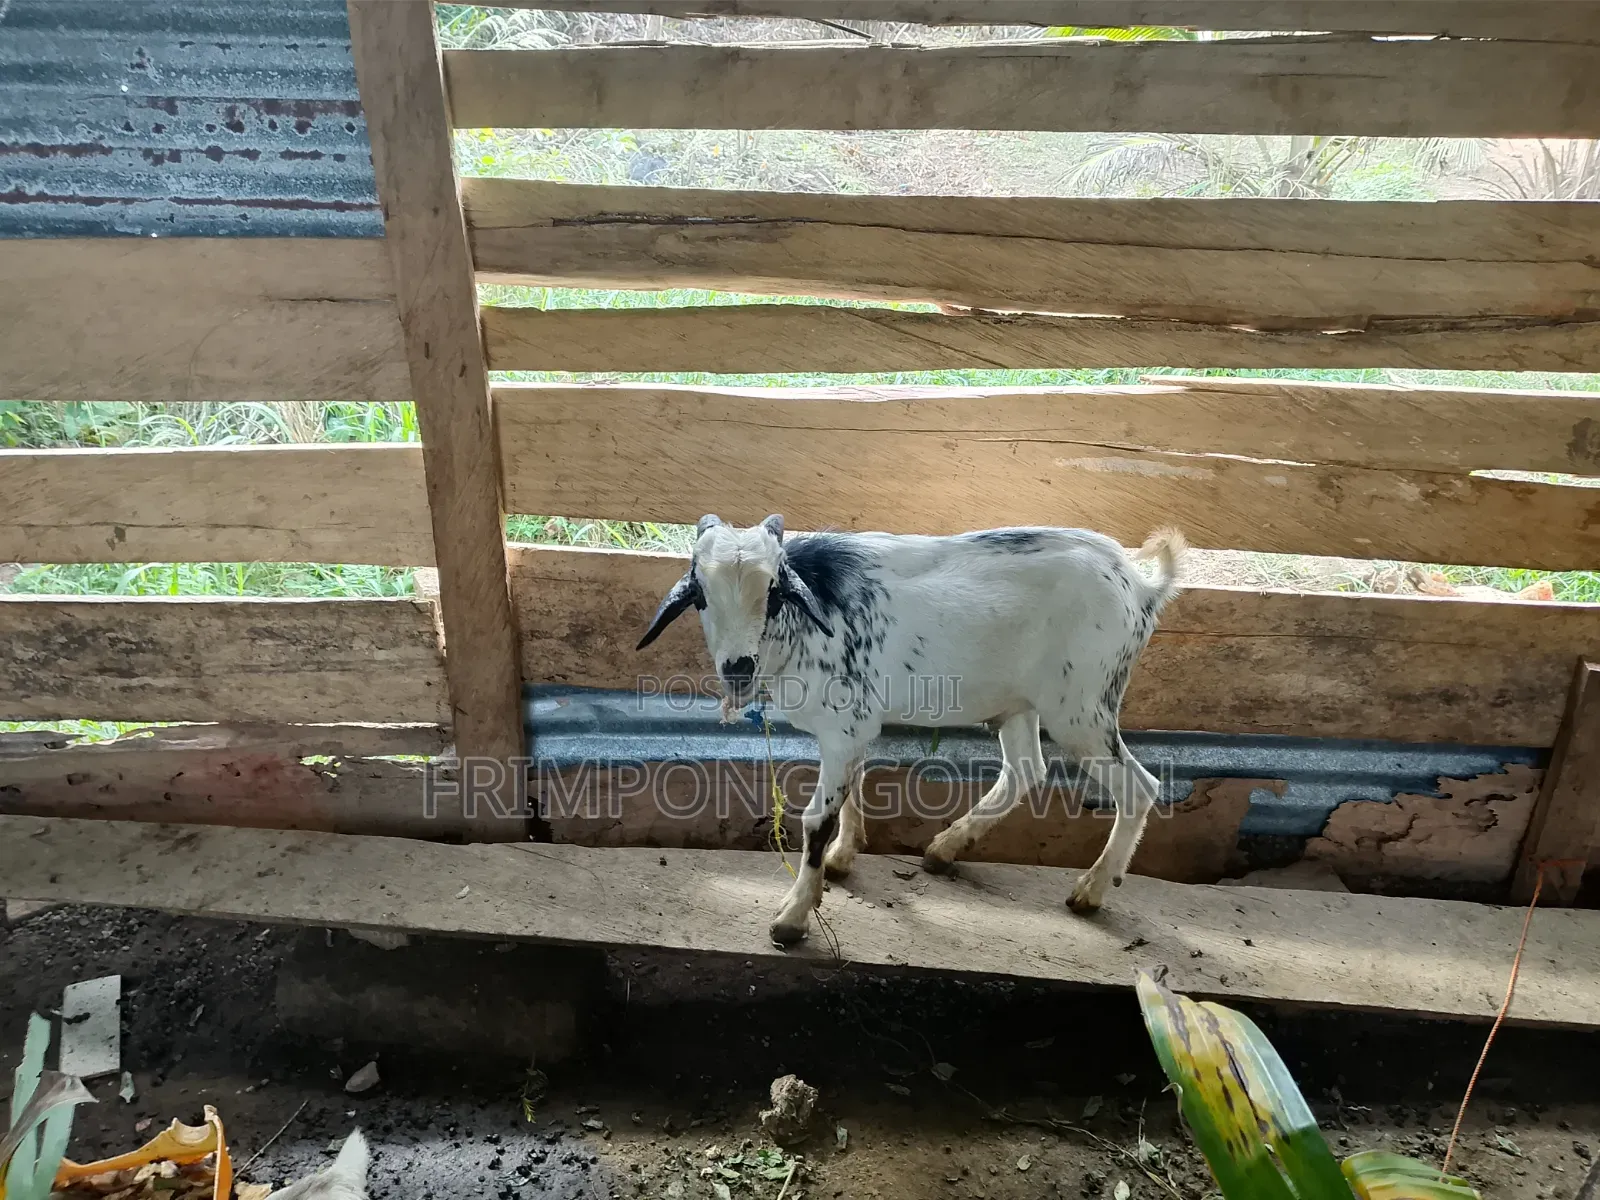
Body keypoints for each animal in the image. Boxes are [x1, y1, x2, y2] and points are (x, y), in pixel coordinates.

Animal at [637, 514, 1185, 948]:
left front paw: (793, 917)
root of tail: (1141, 587)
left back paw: (1090, 891)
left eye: (773, 590)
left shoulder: (844, 726)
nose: (738, 668)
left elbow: (817, 819)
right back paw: (945, 849)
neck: (808, 623)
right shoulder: (852, 729)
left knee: (1139, 787)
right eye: (700, 594)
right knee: (1025, 769)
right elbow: (852, 789)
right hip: (1020, 704)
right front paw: (841, 860)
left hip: (1083, 707)